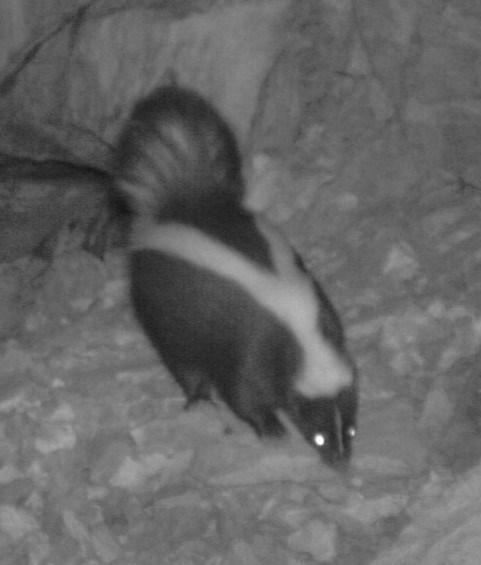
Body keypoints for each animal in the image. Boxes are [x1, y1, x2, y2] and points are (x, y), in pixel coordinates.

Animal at [114, 85, 358, 468]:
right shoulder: (248, 347)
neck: (305, 336)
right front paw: (271, 429)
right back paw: (197, 396)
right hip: (162, 311)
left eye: (350, 430)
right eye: (317, 435)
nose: (340, 463)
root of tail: (184, 200)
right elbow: (243, 392)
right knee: (181, 360)